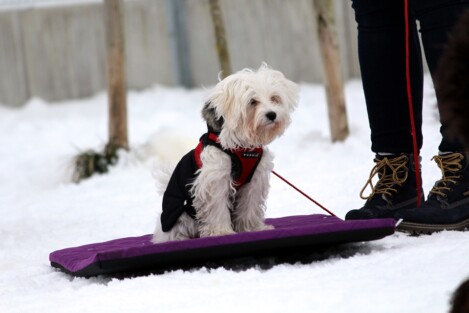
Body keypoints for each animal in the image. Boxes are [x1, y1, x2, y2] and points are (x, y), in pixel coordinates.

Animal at [152, 63, 298, 243]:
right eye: (252, 101)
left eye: (274, 98)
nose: (272, 114)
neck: (241, 147)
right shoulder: (216, 180)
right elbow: (217, 207)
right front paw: (221, 232)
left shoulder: (254, 181)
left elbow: (250, 205)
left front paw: (252, 228)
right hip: (181, 214)